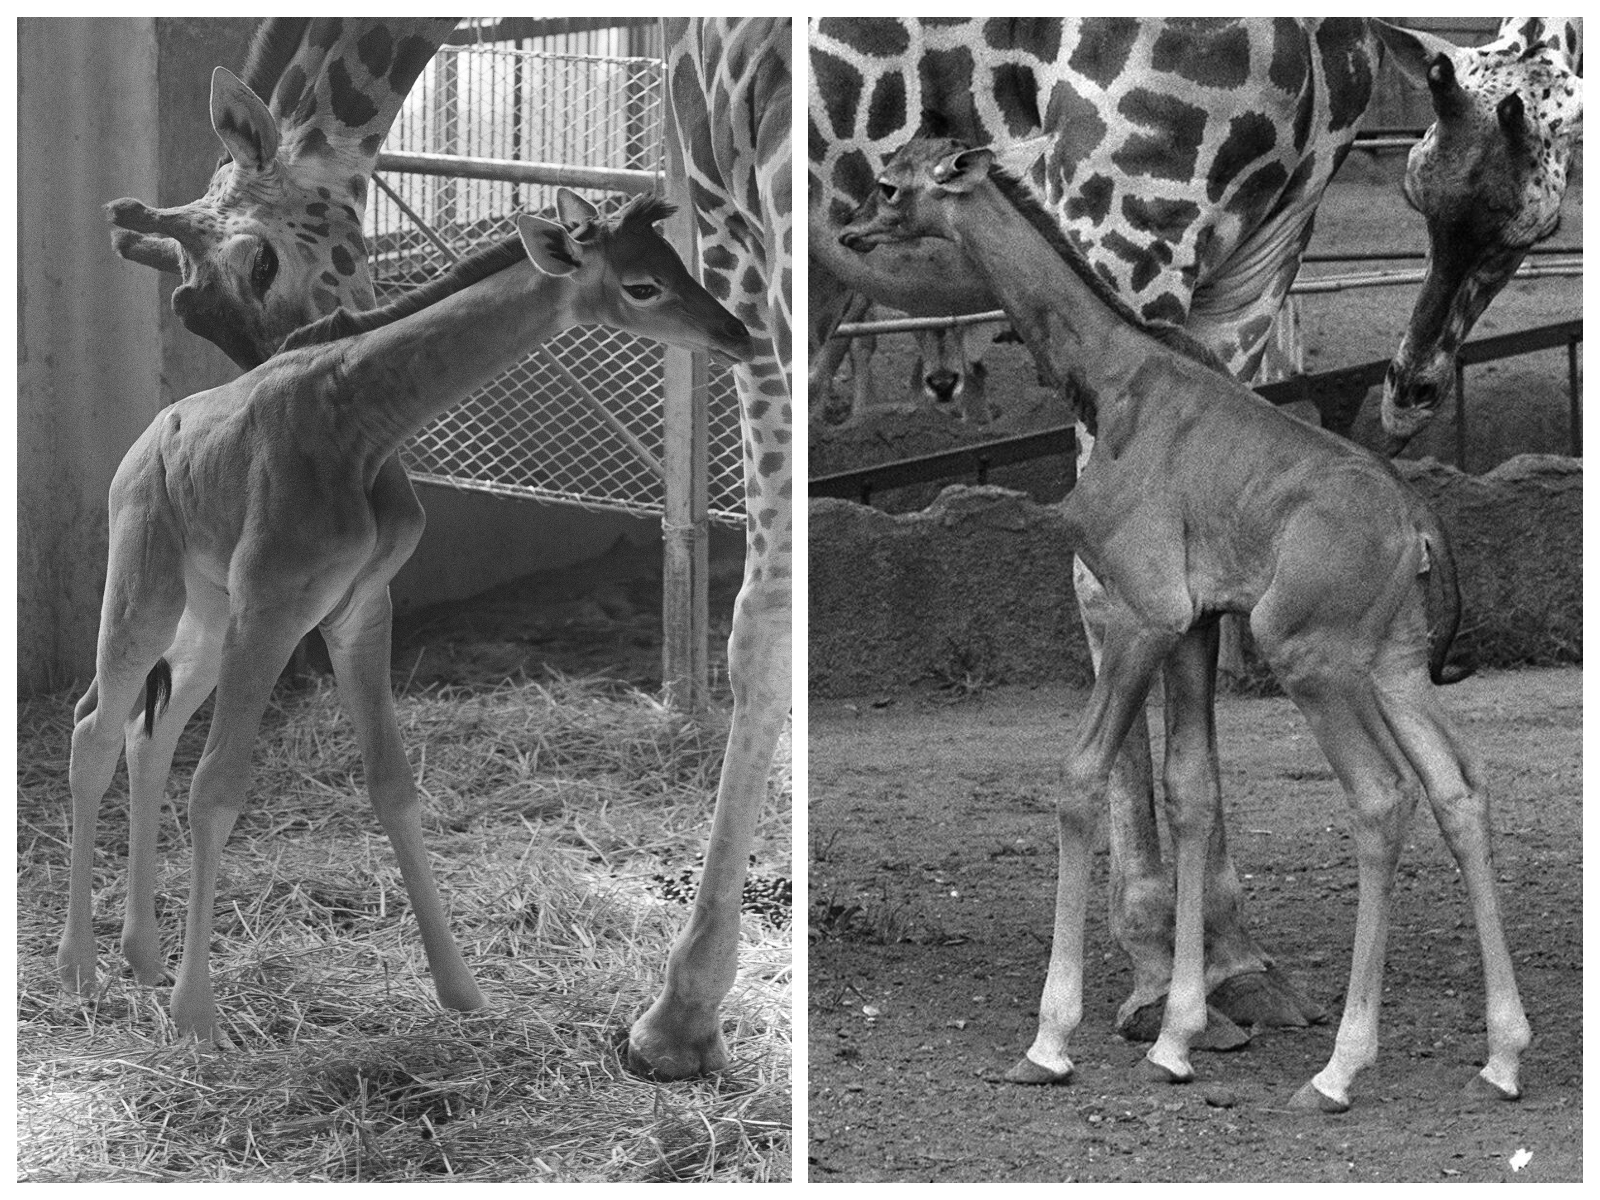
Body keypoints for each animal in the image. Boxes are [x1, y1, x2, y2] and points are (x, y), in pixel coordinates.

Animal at [812, 16, 1574, 1049]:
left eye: (895, 184)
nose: (849, 229)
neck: (1110, 374)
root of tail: (1422, 528)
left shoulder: (1147, 605)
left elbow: (1080, 776)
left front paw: (1066, 1033)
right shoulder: (1198, 617)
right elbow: (1193, 790)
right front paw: (1186, 1014)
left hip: (1307, 651)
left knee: (1383, 798)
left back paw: (1352, 1056)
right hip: (1391, 661)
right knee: (1459, 785)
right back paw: (1498, 1049)